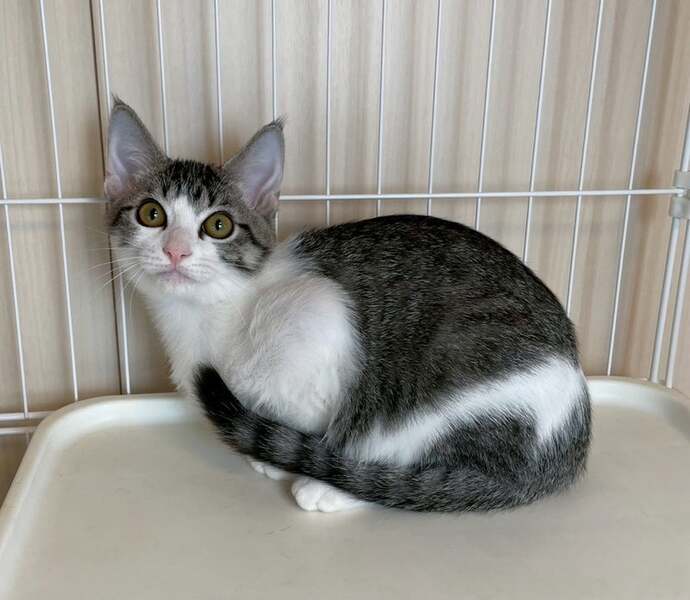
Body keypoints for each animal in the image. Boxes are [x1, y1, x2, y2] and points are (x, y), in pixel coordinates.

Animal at [105, 99, 591, 513]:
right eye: (151, 214)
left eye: (218, 225)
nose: (176, 251)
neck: (210, 317)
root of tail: (572, 441)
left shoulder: (321, 314)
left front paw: (302, 461)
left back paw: (332, 486)